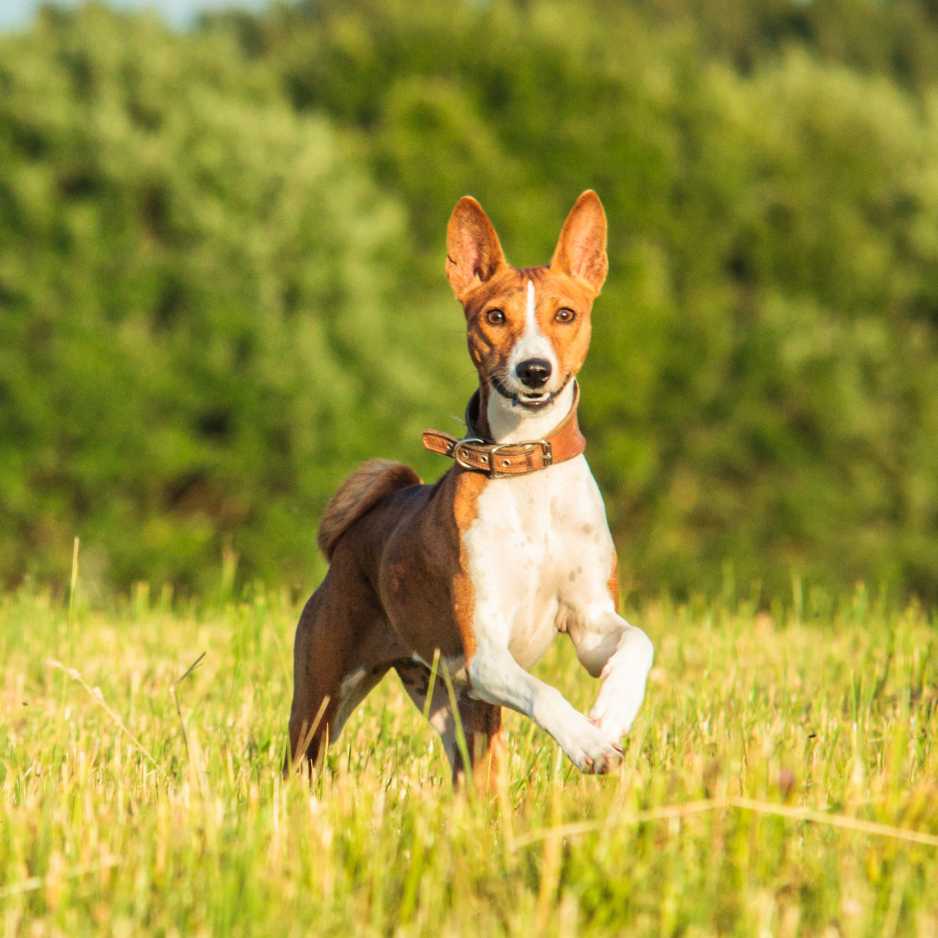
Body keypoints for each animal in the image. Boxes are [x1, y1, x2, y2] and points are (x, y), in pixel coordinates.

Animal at [284, 190, 652, 784]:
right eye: (495, 317)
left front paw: (611, 714)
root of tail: (355, 535)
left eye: (565, 314)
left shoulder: (591, 623)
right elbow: (546, 693)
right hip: (324, 700)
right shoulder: (484, 652)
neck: (527, 472)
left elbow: (639, 642)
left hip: (453, 708)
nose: (533, 370)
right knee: (301, 761)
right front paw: (586, 742)